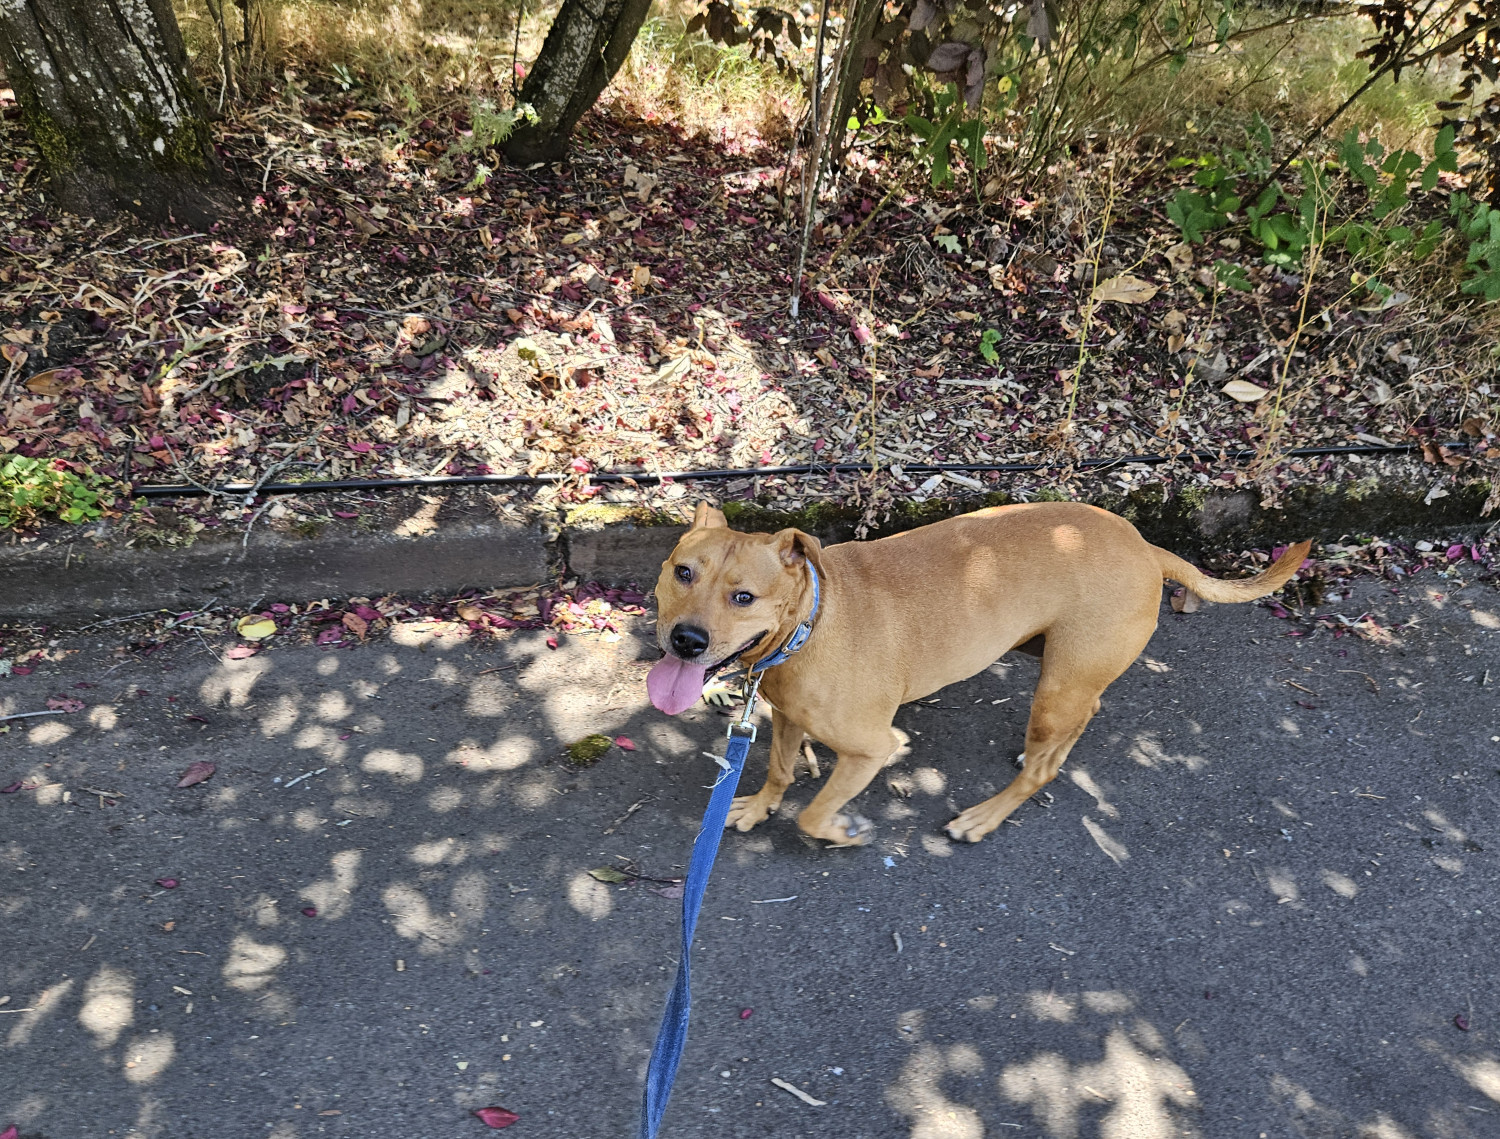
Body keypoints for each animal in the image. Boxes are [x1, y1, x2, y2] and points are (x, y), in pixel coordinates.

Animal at [651, 501, 1308, 846]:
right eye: (682, 572)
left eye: (743, 597)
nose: (686, 640)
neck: (811, 621)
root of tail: (1147, 546)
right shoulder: (787, 716)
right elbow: (782, 771)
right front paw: (759, 805)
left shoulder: (869, 748)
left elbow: (813, 814)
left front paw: (843, 829)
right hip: (1061, 671)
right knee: (1083, 717)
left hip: (1056, 689)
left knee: (1044, 770)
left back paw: (987, 815)